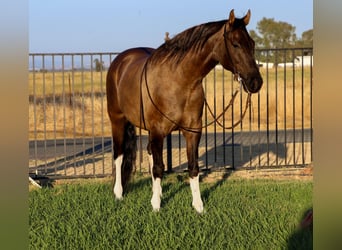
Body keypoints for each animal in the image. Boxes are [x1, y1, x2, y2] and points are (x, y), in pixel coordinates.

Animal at [106, 9, 262, 213]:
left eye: (252, 44)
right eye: (235, 44)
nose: (256, 82)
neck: (180, 80)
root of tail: (120, 61)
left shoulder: (192, 131)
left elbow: (193, 167)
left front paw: (198, 207)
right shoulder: (158, 131)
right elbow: (158, 167)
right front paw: (156, 206)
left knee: (148, 153)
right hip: (117, 120)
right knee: (119, 155)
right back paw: (118, 194)